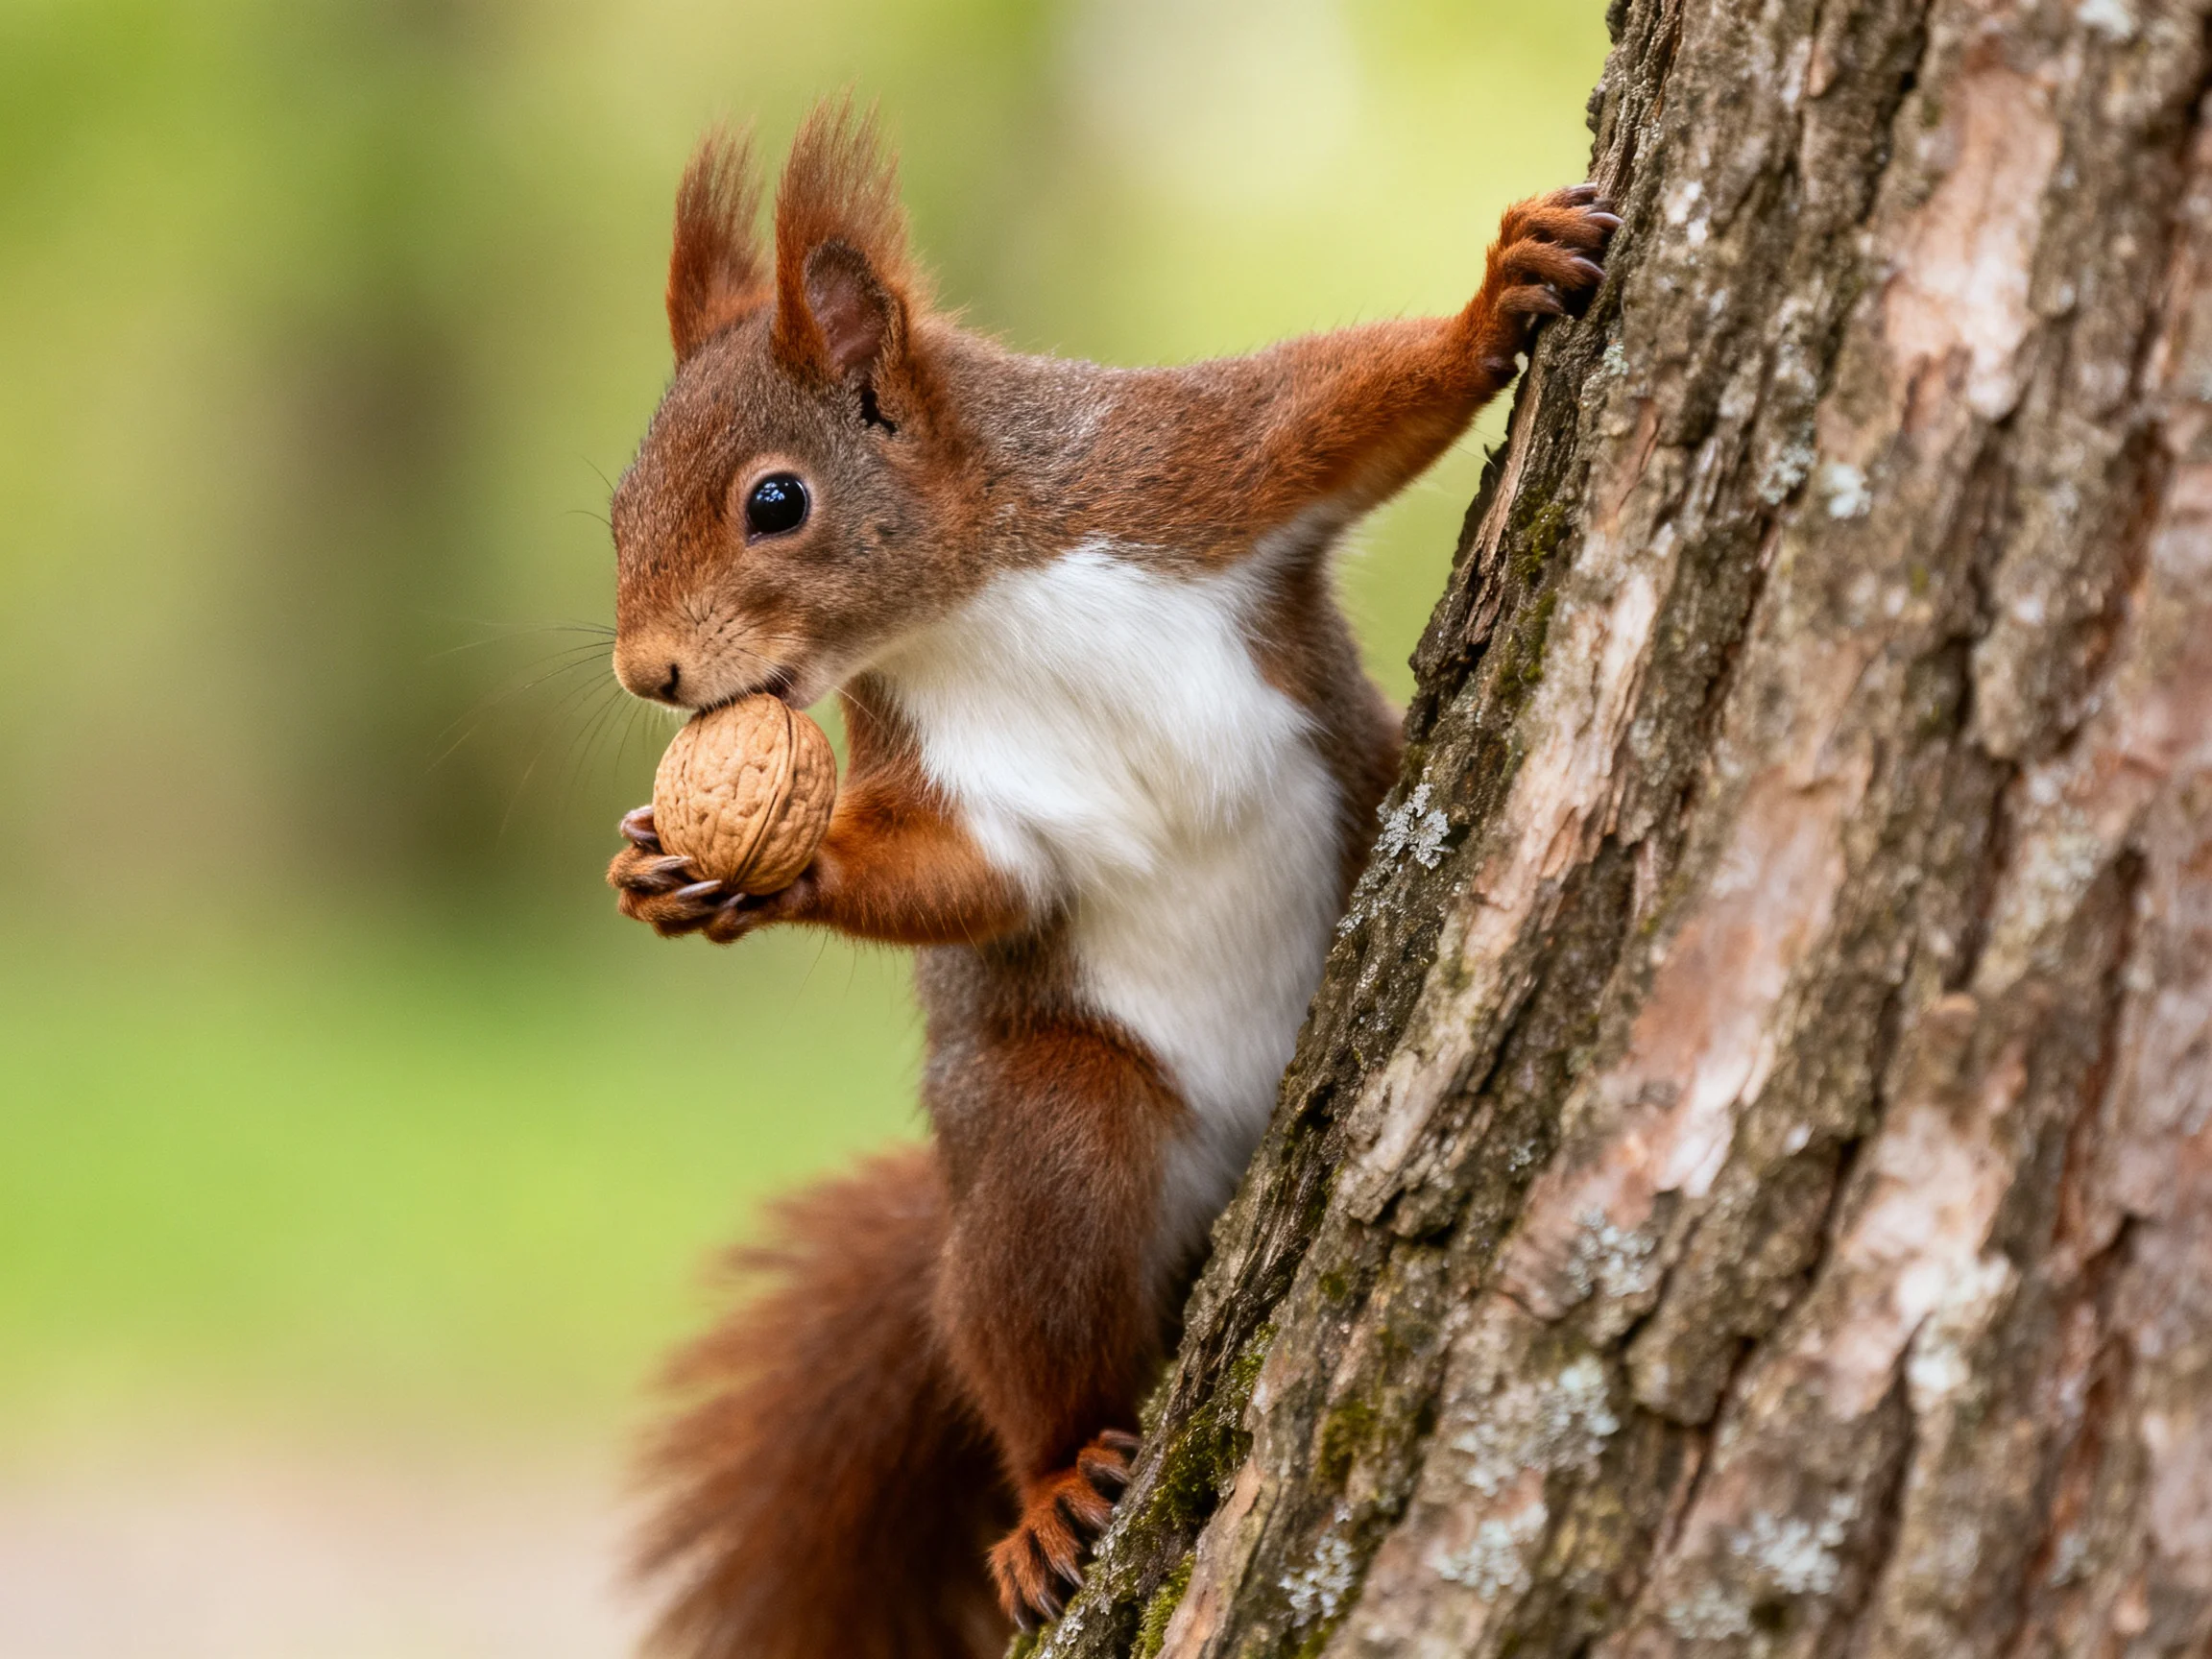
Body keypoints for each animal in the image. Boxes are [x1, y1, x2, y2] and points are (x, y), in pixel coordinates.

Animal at [603, 101, 1613, 1659]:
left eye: (776, 501)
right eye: (615, 508)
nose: (645, 671)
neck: (970, 602)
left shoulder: (1174, 471)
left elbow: (1328, 412)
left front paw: (1491, 300)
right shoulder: (970, 784)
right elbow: (974, 882)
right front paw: (731, 869)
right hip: (1052, 1126)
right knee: (1029, 1343)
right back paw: (1055, 1494)